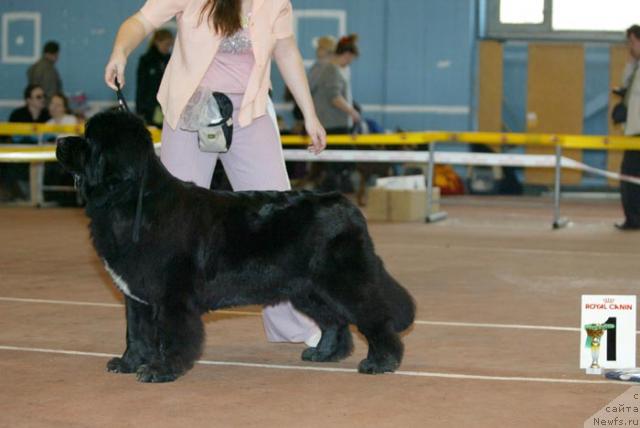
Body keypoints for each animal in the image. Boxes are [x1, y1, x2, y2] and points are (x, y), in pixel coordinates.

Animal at [53, 109, 416, 382]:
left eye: (88, 141)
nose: (58, 140)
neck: (129, 201)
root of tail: (347, 205)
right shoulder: (136, 294)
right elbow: (136, 332)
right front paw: (128, 363)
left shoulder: (171, 295)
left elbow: (171, 333)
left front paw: (161, 369)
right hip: (307, 288)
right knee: (334, 320)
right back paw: (324, 353)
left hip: (342, 279)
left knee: (373, 314)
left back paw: (381, 362)